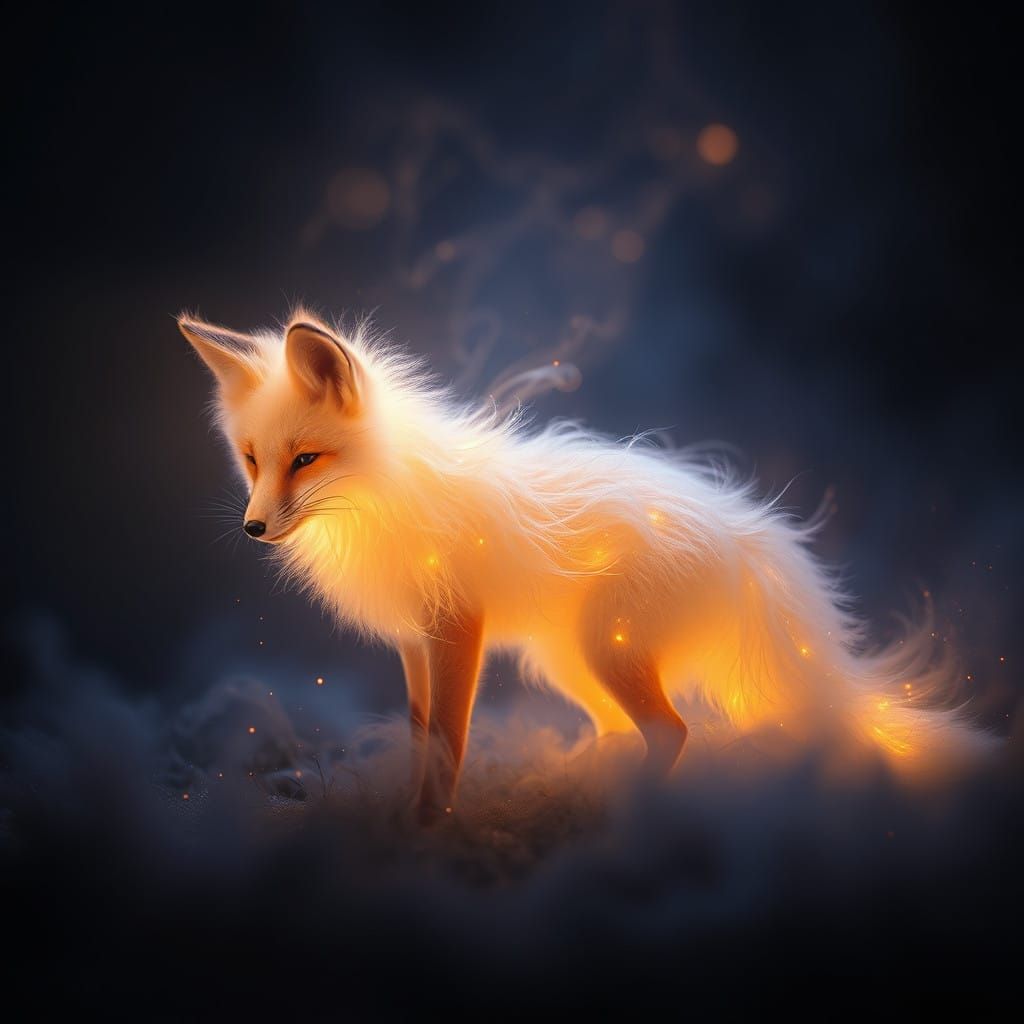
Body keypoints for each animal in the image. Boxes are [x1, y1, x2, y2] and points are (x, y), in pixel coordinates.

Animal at [181, 309, 993, 822]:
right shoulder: (415, 643)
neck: (384, 496)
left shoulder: (458, 631)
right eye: (252, 460)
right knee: (618, 731)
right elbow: (419, 738)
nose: (254, 528)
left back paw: (624, 812)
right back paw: (576, 783)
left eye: (306, 460)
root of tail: (746, 530)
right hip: (569, 661)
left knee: (672, 733)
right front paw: (410, 815)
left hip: (605, 653)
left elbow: (448, 744)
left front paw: (428, 825)